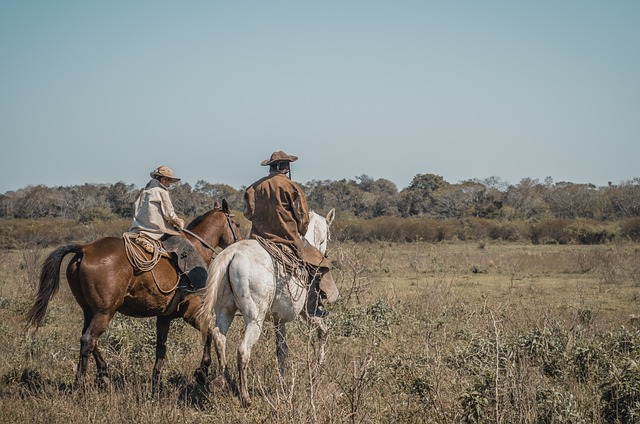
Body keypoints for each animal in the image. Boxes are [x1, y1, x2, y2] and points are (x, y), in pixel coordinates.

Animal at [25, 200, 242, 390]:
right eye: (237, 224)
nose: (240, 242)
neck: (197, 248)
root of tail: (85, 249)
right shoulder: (191, 311)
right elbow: (210, 333)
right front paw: (202, 371)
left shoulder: (164, 317)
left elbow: (161, 348)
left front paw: (157, 380)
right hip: (105, 311)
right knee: (88, 340)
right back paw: (81, 384)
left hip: (90, 310)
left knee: (87, 339)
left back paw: (103, 374)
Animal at [200, 210, 338, 406]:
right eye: (328, 235)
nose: (324, 252)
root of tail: (231, 254)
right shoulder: (309, 313)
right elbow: (323, 332)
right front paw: (317, 373)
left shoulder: (279, 320)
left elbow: (281, 350)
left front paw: (282, 383)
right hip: (254, 319)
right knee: (243, 351)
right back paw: (245, 396)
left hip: (224, 311)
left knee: (219, 337)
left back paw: (224, 381)